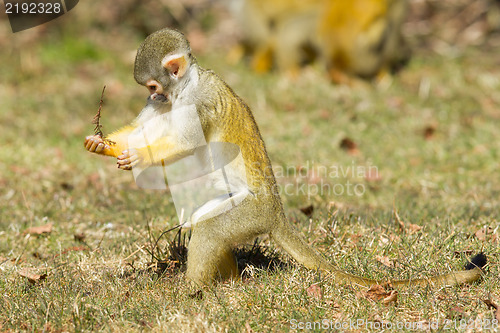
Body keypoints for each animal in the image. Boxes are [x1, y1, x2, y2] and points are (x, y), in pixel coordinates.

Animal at [85, 28, 484, 286]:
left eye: (154, 86)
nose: (154, 97)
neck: (184, 87)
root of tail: (276, 212)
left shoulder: (198, 101)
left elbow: (186, 141)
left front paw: (138, 158)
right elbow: (147, 129)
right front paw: (102, 144)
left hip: (251, 212)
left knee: (212, 229)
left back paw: (193, 292)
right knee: (205, 224)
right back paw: (228, 283)